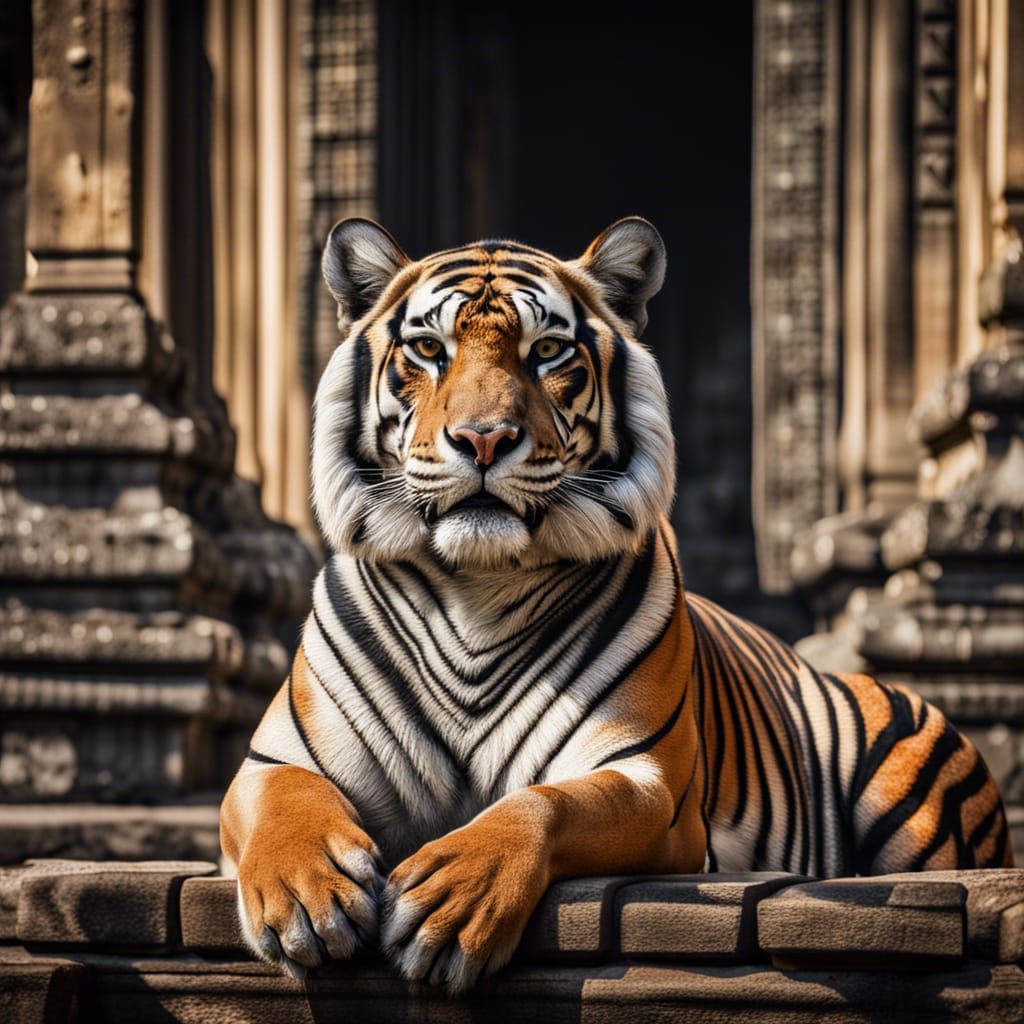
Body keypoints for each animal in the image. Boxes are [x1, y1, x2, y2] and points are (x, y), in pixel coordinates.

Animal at [220, 216, 1012, 994]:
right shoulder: (272, 759)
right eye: (427, 349)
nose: (483, 438)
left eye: (546, 351)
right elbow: (285, 804)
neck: (478, 582)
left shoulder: (646, 780)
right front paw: (305, 899)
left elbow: (547, 802)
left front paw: (453, 901)